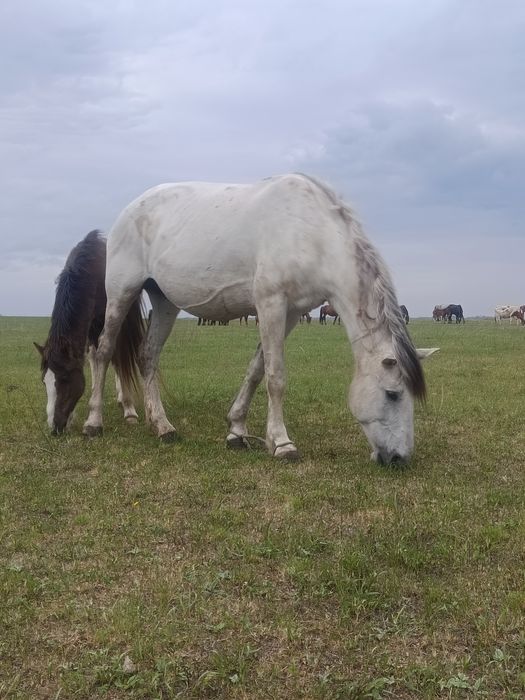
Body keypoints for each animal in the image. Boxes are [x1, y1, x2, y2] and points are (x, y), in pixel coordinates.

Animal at [35, 231, 144, 434]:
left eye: (64, 379)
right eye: (44, 381)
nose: (54, 427)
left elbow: (118, 358)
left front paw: (129, 410)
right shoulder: (91, 323)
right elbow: (96, 357)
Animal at [81, 174, 438, 464]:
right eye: (392, 394)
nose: (400, 459)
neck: (310, 232)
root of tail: (131, 209)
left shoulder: (291, 313)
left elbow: (256, 370)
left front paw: (236, 430)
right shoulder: (270, 305)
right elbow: (275, 376)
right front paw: (281, 443)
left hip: (165, 303)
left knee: (148, 356)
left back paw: (162, 426)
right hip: (122, 293)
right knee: (102, 351)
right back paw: (93, 422)